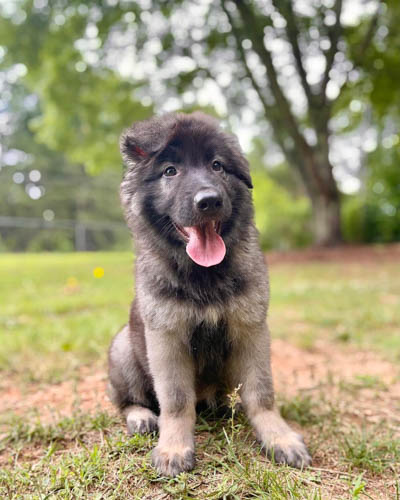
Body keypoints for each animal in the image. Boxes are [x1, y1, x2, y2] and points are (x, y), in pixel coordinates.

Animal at [108, 111, 310, 474]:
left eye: (217, 166)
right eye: (170, 171)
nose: (209, 201)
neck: (204, 275)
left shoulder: (250, 330)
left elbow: (262, 393)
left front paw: (279, 437)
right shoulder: (167, 338)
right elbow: (175, 400)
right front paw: (174, 446)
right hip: (123, 349)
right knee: (127, 401)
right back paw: (141, 416)